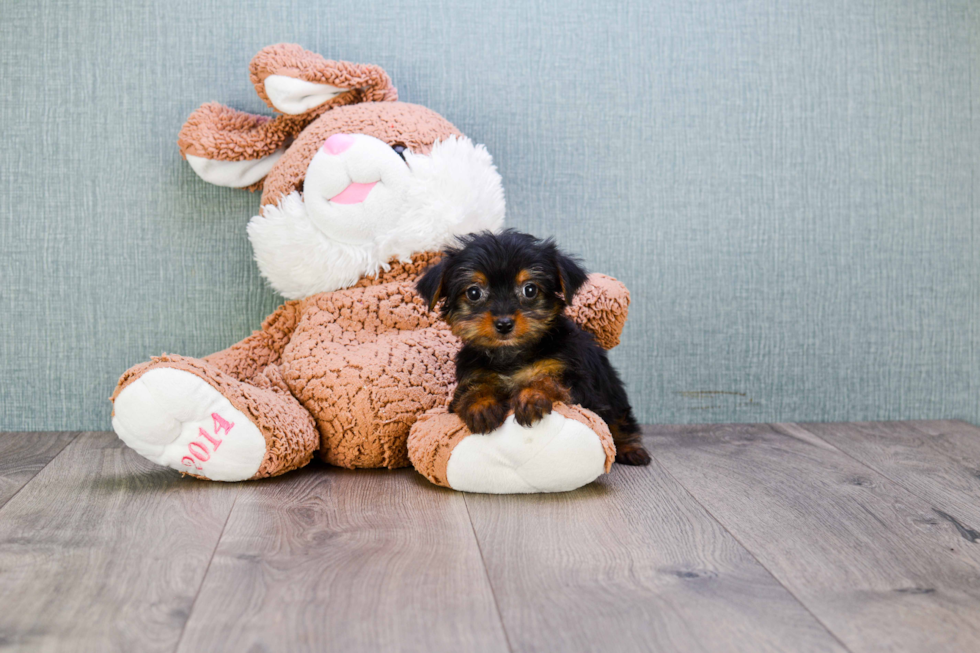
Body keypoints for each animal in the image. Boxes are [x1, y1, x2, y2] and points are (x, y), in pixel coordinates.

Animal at [416, 229, 652, 464]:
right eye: (474, 293)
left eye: (529, 290)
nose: (504, 323)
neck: (512, 354)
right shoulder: (472, 375)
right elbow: (472, 390)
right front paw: (480, 405)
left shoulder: (577, 383)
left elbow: (547, 379)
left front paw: (531, 396)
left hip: (612, 393)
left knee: (619, 419)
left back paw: (630, 449)